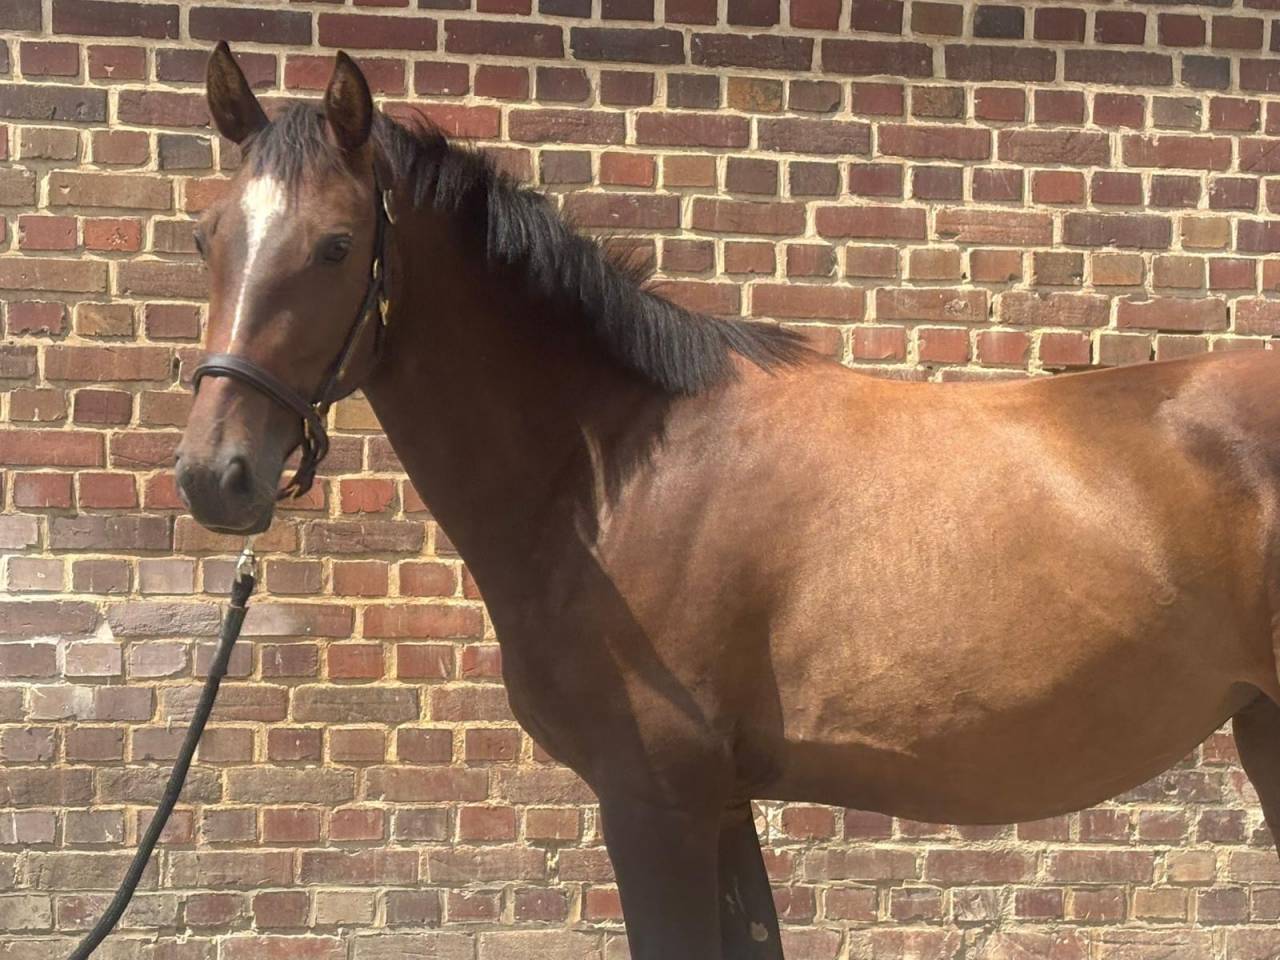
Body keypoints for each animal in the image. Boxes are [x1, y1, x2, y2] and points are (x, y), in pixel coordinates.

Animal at [175, 44, 1280, 959]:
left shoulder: (654, 801)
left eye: (335, 245)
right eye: (205, 237)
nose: (213, 474)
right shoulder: (718, 804)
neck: (616, 474)